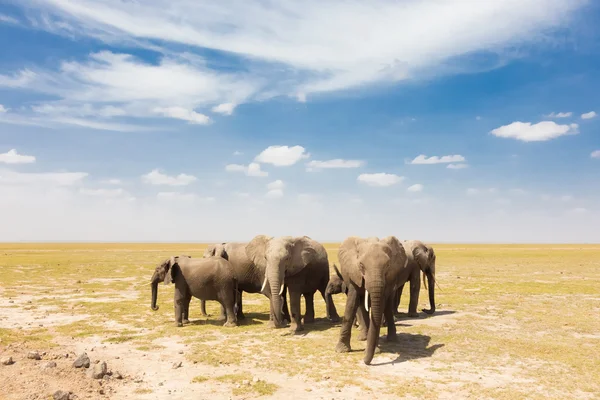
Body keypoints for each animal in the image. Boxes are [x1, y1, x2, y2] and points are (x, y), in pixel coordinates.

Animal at [336, 236, 410, 364]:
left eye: (387, 265)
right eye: (361, 265)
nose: (364, 360)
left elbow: (381, 306)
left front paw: (374, 351)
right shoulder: (354, 273)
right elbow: (352, 303)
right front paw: (341, 350)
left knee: (387, 308)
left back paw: (391, 340)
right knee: (362, 305)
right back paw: (363, 337)